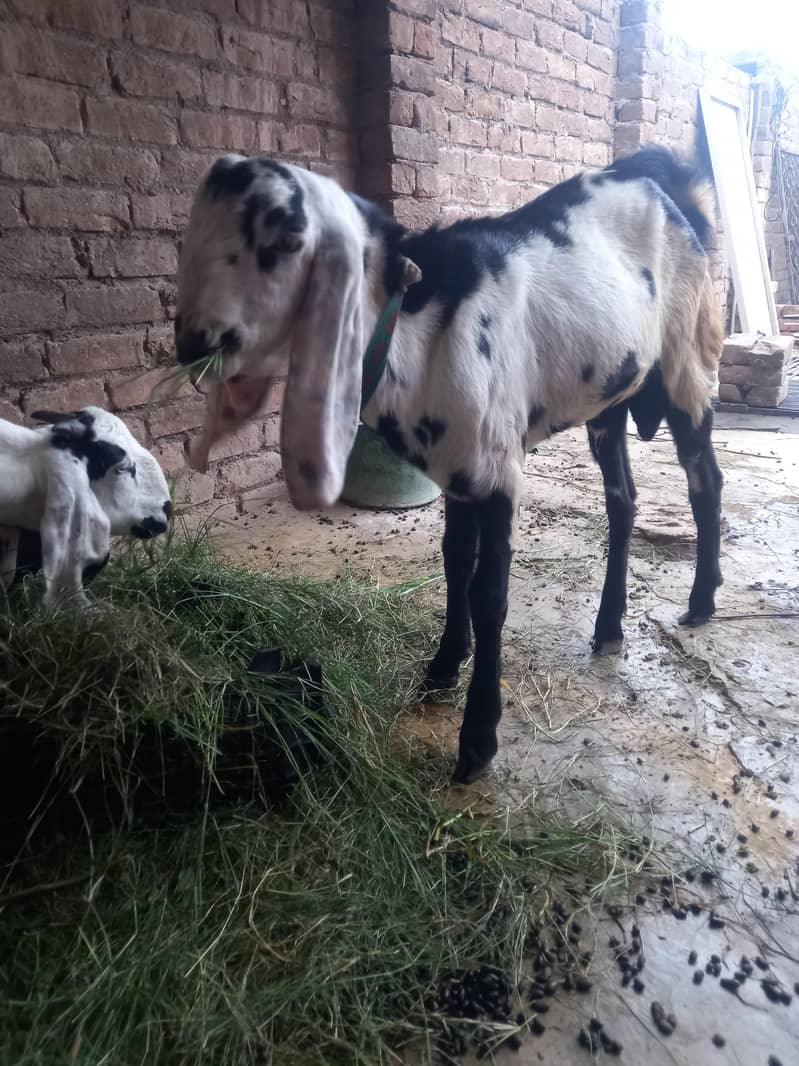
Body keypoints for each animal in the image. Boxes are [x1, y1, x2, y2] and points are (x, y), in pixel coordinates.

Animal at [173, 147, 725, 785]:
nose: (191, 342)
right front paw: (442, 668)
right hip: (609, 399)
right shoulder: (461, 471)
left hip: (689, 363)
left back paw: (701, 602)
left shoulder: (498, 468)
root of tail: (667, 186)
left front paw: (478, 739)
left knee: (705, 481)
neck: (421, 332)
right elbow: (455, 562)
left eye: (286, 239)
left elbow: (489, 594)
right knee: (623, 500)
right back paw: (609, 626)